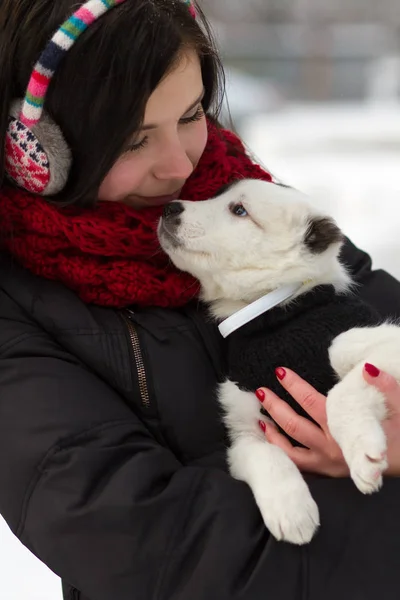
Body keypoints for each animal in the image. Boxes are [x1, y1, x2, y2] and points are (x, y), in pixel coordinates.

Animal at [158, 178, 398, 544]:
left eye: (239, 210)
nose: (170, 207)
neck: (276, 315)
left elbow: (343, 373)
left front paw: (363, 454)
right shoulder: (245, 424)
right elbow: (264, 454)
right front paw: (291, 510)